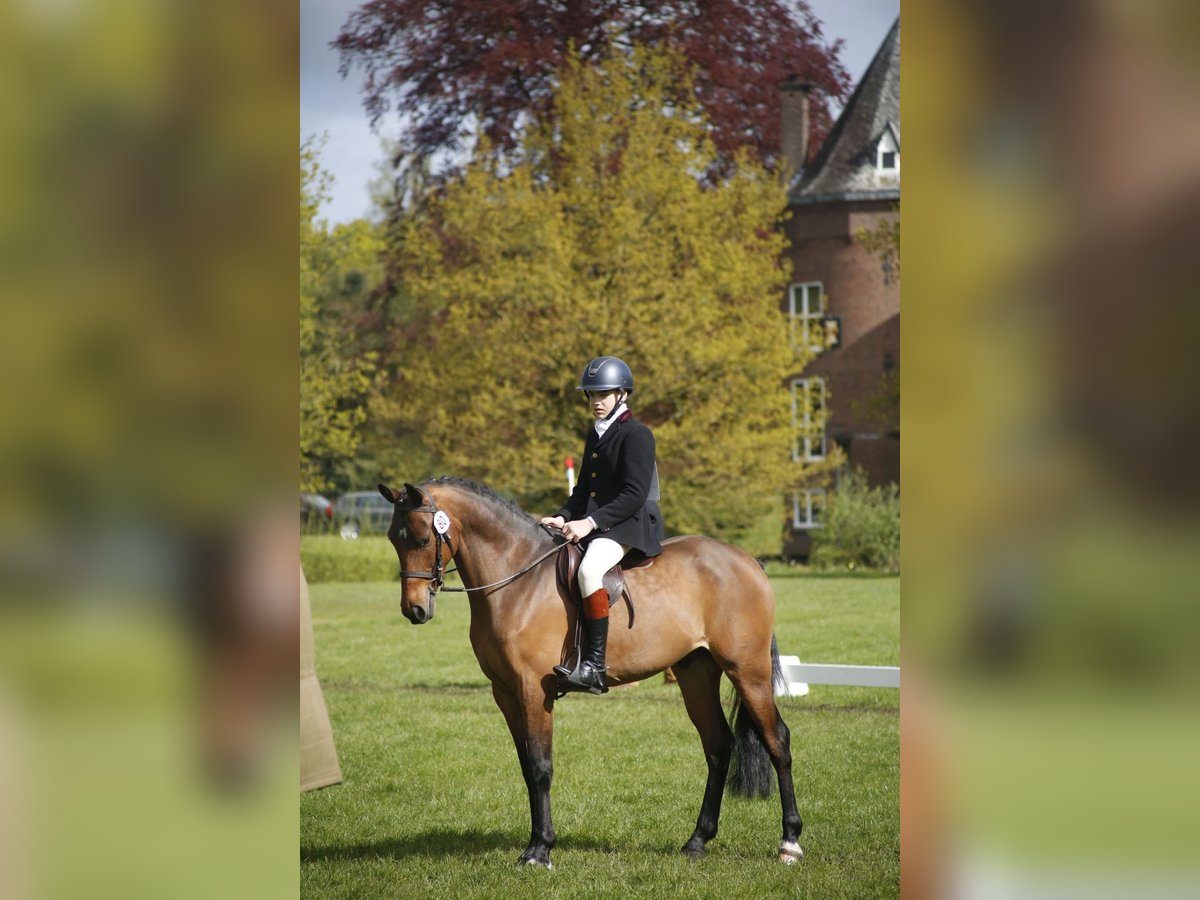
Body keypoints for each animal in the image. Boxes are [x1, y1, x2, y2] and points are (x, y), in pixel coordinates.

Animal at [379, 476, 803, 868]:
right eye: (393, 540)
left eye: (422, 540)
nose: (414, 610)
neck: (517, 579)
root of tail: (747, 560)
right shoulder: (505, 693)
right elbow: (526, 767)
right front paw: (535, 845)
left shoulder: (534, 689)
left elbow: (541, 767)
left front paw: (540, 851)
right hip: (696, 673)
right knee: (718, 745)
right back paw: (697, 841)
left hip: (748, 671)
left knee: (777, 741)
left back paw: (790, 843)